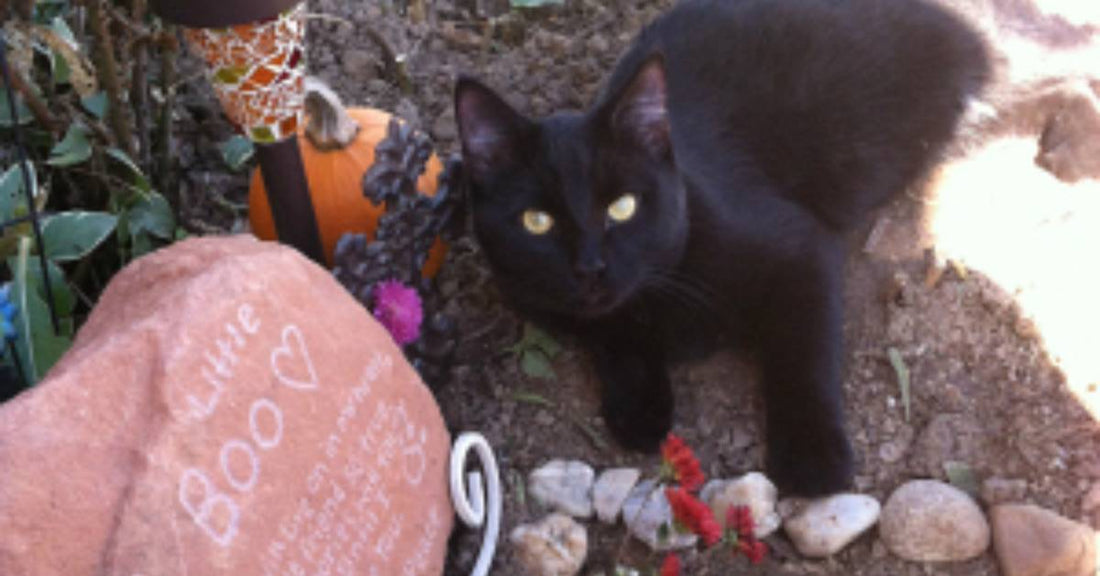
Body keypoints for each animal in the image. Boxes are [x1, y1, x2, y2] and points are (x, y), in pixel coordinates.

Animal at [453, 0, 990, 494]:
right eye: (536, 222)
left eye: (623, 207)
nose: (590, 267)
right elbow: (611, 334)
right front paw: (639, 406)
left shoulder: (800, 249)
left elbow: (803, 353)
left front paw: (812, 456)